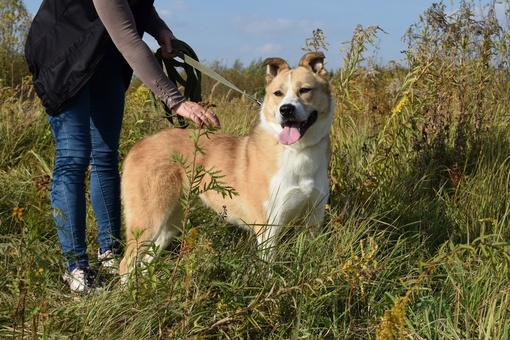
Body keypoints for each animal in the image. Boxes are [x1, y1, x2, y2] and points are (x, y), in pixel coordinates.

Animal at [118, 50, 334, 278]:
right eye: (278, 93)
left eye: (304, 90)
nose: (286, 110)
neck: (297, 151)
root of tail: (140, 143)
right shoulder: (269, 227)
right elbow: (267, 270)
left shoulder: (312, 223)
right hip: (149, 220)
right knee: (126, 264)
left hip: (169, 224)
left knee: (144, 262)